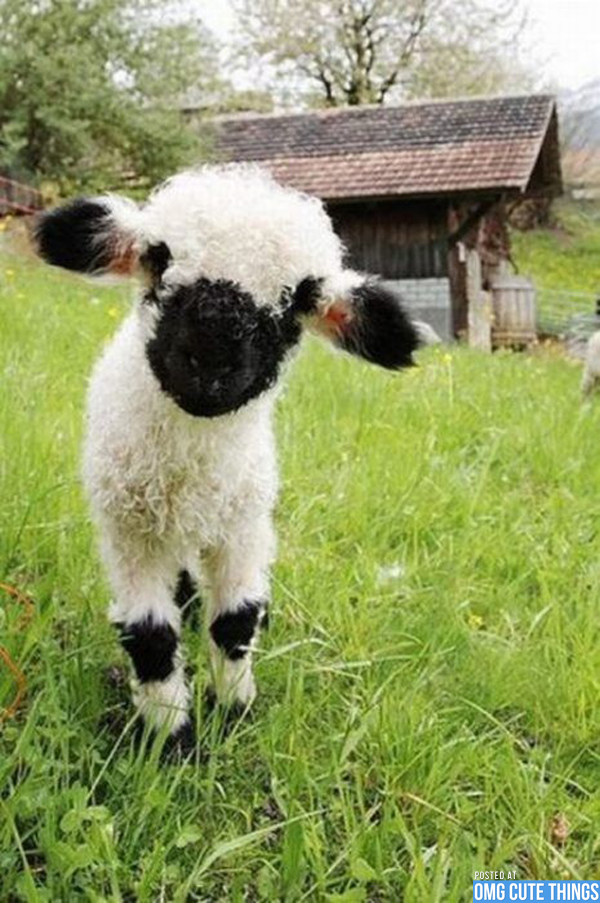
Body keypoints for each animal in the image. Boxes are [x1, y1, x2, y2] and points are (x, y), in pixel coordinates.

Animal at [34, 165, 420, 751]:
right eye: (158, 258)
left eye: (298, 301)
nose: (211, 361)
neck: (191, 458)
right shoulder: (129, 530)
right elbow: (150, 635)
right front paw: (170, 737)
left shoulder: (243, 524)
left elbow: (235, 621)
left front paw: (235, 710)